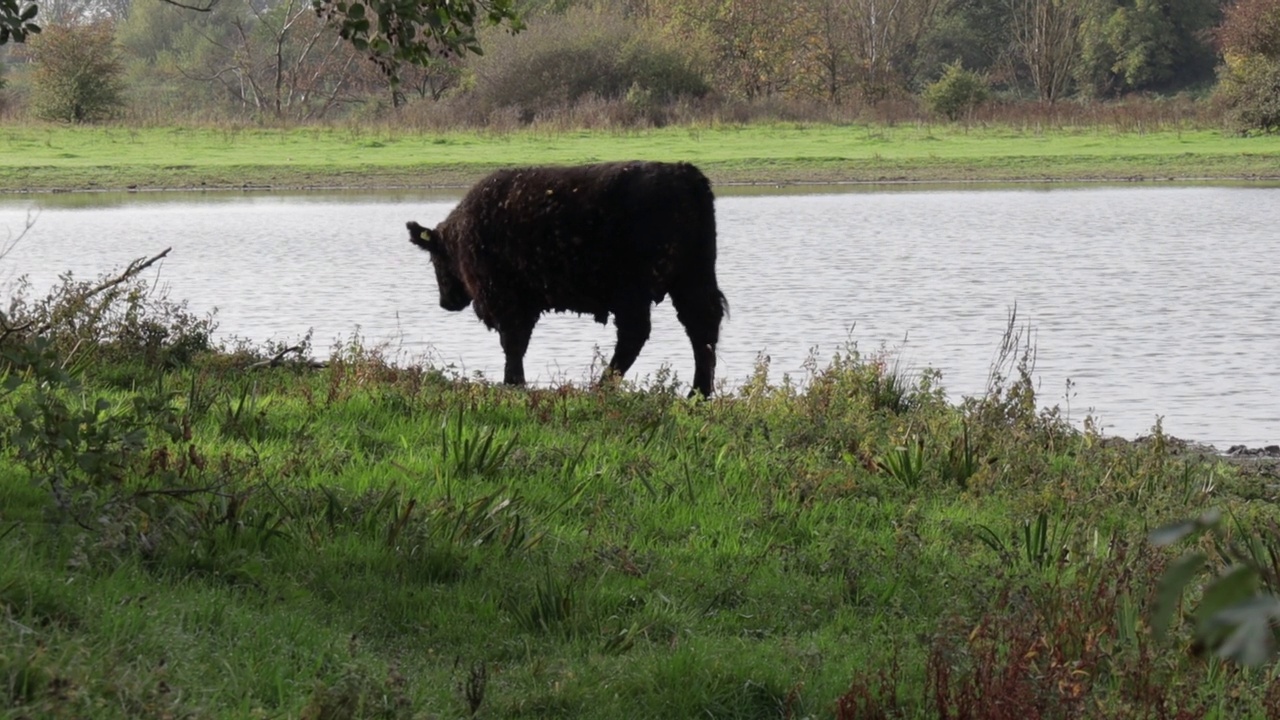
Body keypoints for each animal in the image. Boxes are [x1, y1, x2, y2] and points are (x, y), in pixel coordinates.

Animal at [409, 159, 732, 394]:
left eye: (435, 258)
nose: (446, 302)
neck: (464, 231)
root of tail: (684, 172)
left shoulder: (506, 298)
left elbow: (512, 343)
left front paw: (513, 383)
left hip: (634, 291)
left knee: (635, 335)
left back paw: (602, 386)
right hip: (692, 279)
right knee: (701, 327)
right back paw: (698, 394)